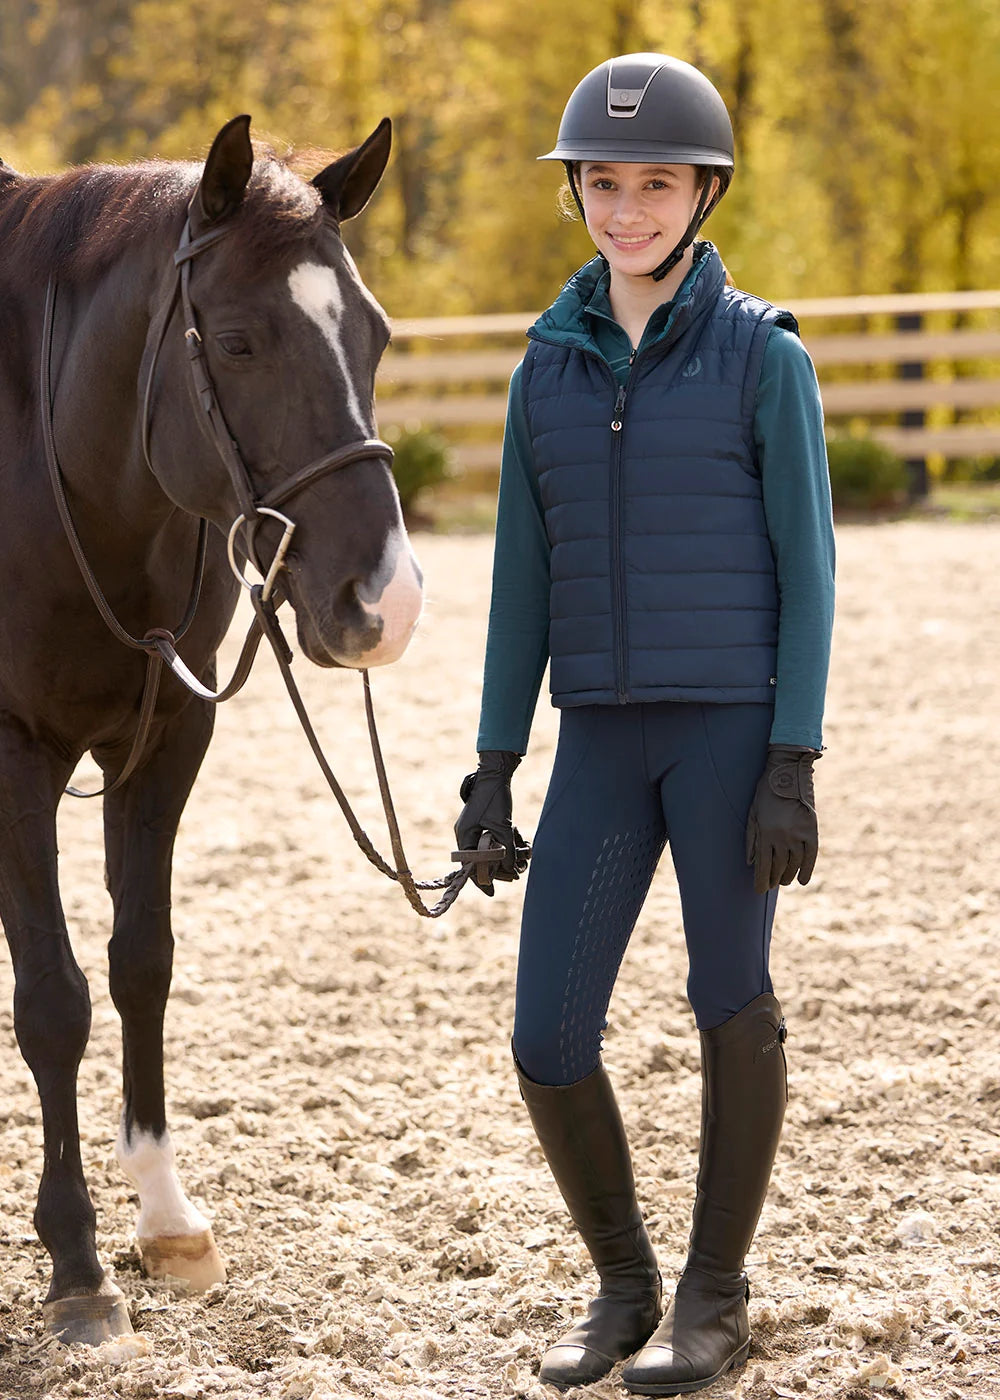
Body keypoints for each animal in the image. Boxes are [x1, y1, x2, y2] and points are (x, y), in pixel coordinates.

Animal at [0, 114, 423, 1346]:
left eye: (375, 336)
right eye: (235, 343)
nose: (387, 601)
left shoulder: (166, 743)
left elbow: (141, 962)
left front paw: (165, 1217)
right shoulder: (11, 757)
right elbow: (52, 1001)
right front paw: (77, 1264)